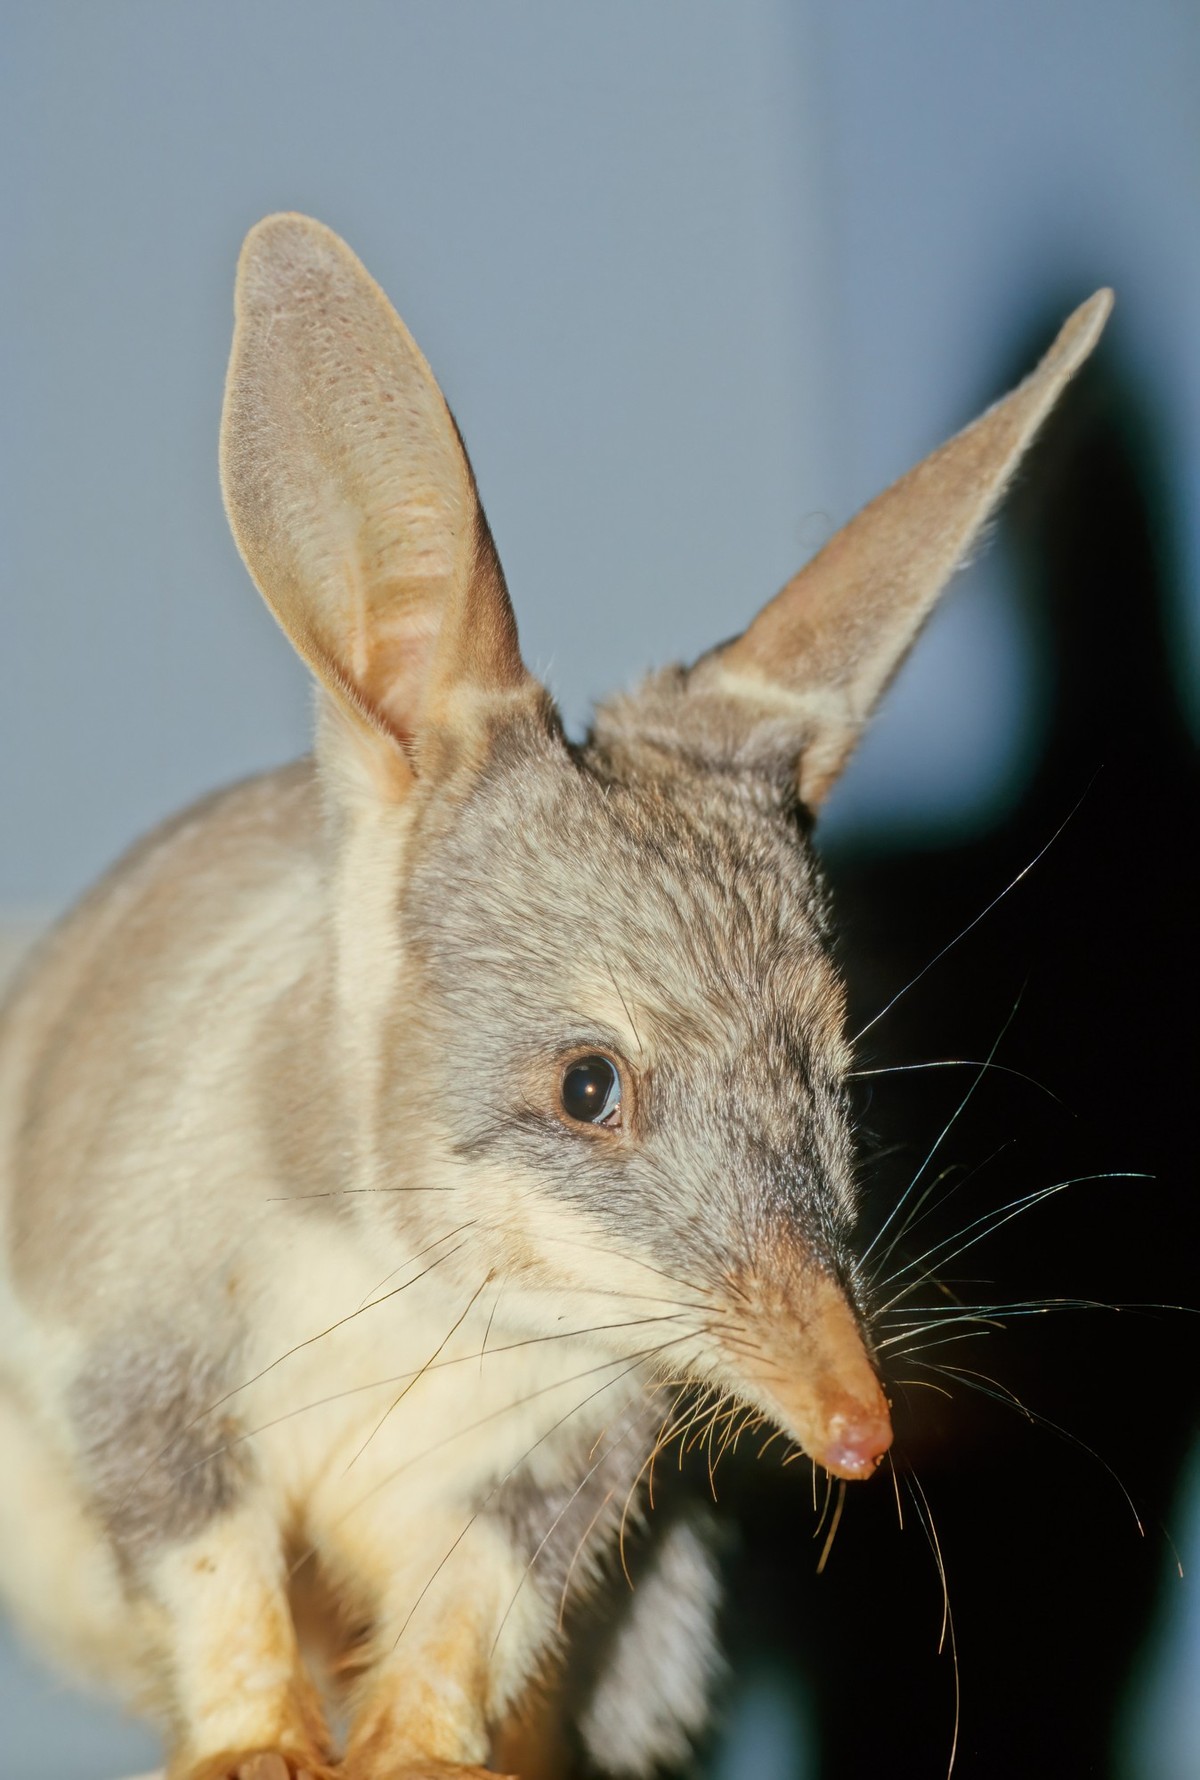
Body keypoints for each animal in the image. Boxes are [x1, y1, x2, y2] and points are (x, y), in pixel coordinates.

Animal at [0, 214, 1109, 1780]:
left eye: (839, 1080)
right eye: (590, 1086)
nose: (859, 1435)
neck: (429, 1283)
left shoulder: (562, 1460)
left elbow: (470, 1610)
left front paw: (413, 1753)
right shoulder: (139, 1366)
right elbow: (212, 1565)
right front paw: (261, 1750)